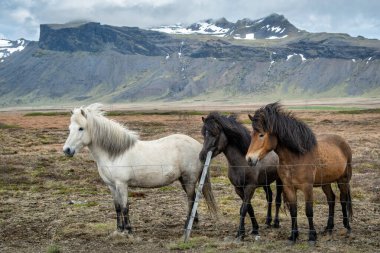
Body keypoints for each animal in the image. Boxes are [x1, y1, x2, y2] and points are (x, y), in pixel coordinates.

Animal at [62, 103, 217, 233]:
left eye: (81, 128)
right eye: (70, 129)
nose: (67, 150)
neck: (114, 154)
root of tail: (198, 145)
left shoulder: (122, 184)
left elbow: (125, 207)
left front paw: (128, 230)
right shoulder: (111, 186)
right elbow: (117, 207)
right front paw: (119, 229)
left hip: (189, 179)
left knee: (191, 199)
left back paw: (186, 226)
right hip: (183, 180)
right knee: (193, 198)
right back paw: (194, 223)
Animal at [245, 102, 352, 244]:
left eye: (261, 134)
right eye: (252, 134)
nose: (249, 159)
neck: (296, 158)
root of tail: (343, 142)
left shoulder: (307, 188)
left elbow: (309, 211)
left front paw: (312, 236)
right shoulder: (289, 187)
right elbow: (293, 211)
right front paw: (293, 236)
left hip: (343, 180)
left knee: (343, 200)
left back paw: (347, 226)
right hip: (325, 182)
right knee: (331, 199)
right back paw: (328, 228)